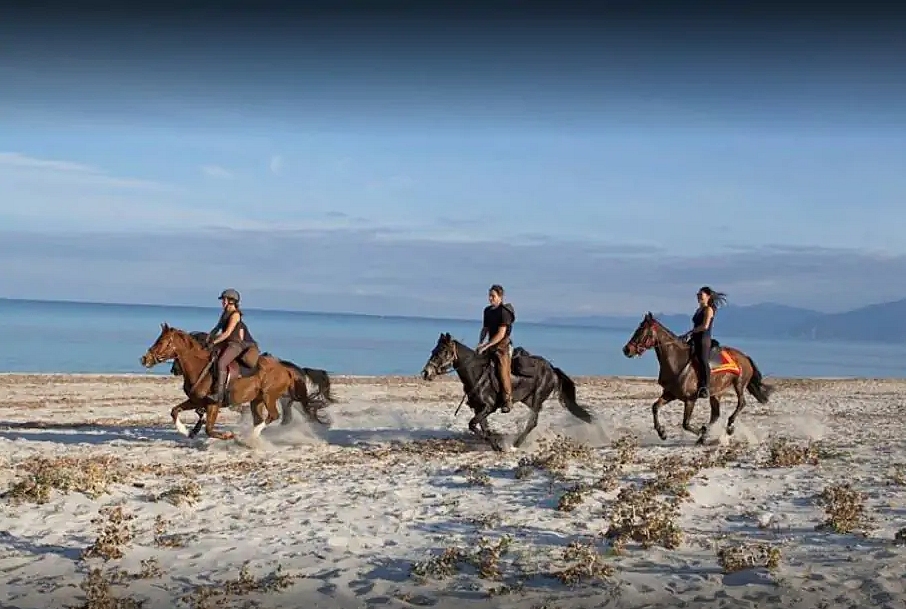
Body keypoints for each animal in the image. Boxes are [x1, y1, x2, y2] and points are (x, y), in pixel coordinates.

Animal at [139, 323, 323, 441]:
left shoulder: (213, 405)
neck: (200, 368)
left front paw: (228, 435)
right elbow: (175, 411)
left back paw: (250, 436)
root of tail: (285, 368)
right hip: (256, 400)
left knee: (273, 415)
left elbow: (209, 429)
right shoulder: (196, 401)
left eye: (161, 342)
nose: (144, 359)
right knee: (261, 418)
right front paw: (185, 431)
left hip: (269, 396)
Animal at [420, 332, 594, 452]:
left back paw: (516, 444)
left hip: (537, 398)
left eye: (443, 352)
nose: (426, 373)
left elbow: (473, 424)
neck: (476, 373)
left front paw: (498, 445)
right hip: (527, 399)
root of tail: (552, 369)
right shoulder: (479, 409)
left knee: (532, 422)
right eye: (433, 350)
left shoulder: (488, 407)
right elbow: (482, 428)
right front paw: (495, 446)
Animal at [621, 312, 773, 445]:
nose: (626, 350)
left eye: (641, 331)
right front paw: (662, 433)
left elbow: (685, 424)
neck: (677, 361)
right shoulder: (670, 394)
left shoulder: (690, 399)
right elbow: (655, 407)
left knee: (741, 403)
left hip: (739, 384)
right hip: (716, 393)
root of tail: (745, 356)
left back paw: (728, 427)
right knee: (715, 414)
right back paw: (705, 436)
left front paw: (701, 431)